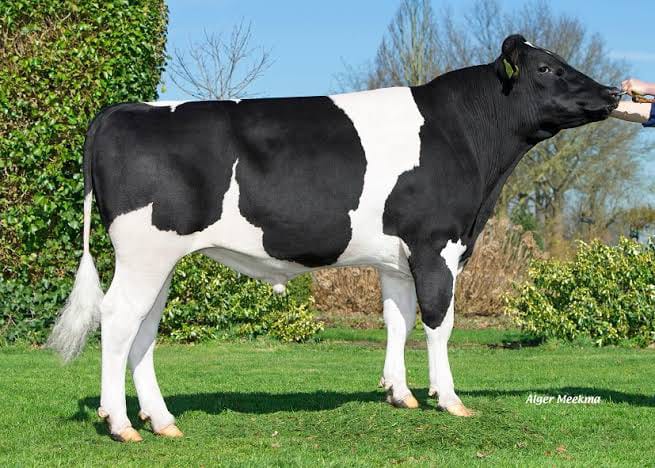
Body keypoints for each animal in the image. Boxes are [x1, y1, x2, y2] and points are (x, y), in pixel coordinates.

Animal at [48, 34, 620, 442]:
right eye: (546, 68)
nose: (613, 92)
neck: (465, 138)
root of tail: (127, 110)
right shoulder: (437, 244)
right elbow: (439, 322)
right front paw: (450, 399)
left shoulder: (396, 257)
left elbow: (397, 319)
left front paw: (399, 394)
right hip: (144, 251)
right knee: (118, 318)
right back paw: (120, 424)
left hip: (160, 258)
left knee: (143, 329)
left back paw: (161, 420)